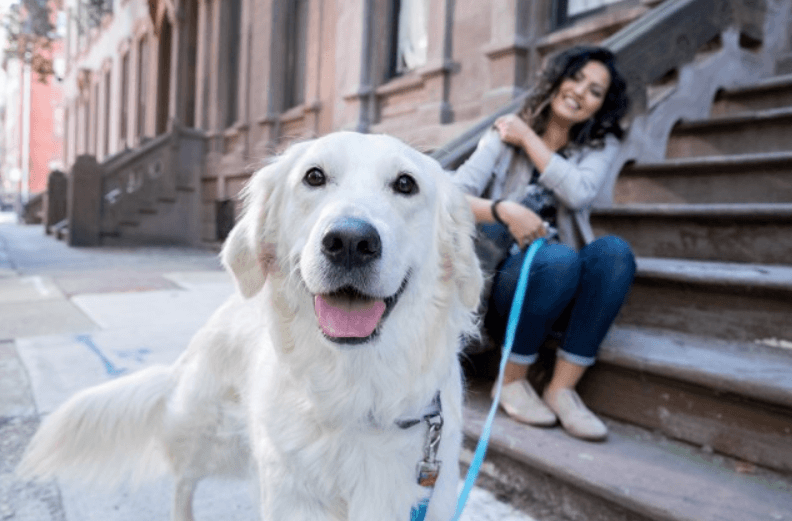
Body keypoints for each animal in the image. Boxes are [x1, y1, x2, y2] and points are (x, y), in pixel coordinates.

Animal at [20, 132, 482, 520]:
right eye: (314, 176)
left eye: (406, 184)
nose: (351, 242)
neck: (356, 396)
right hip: (206, 436)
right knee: (182, 482)